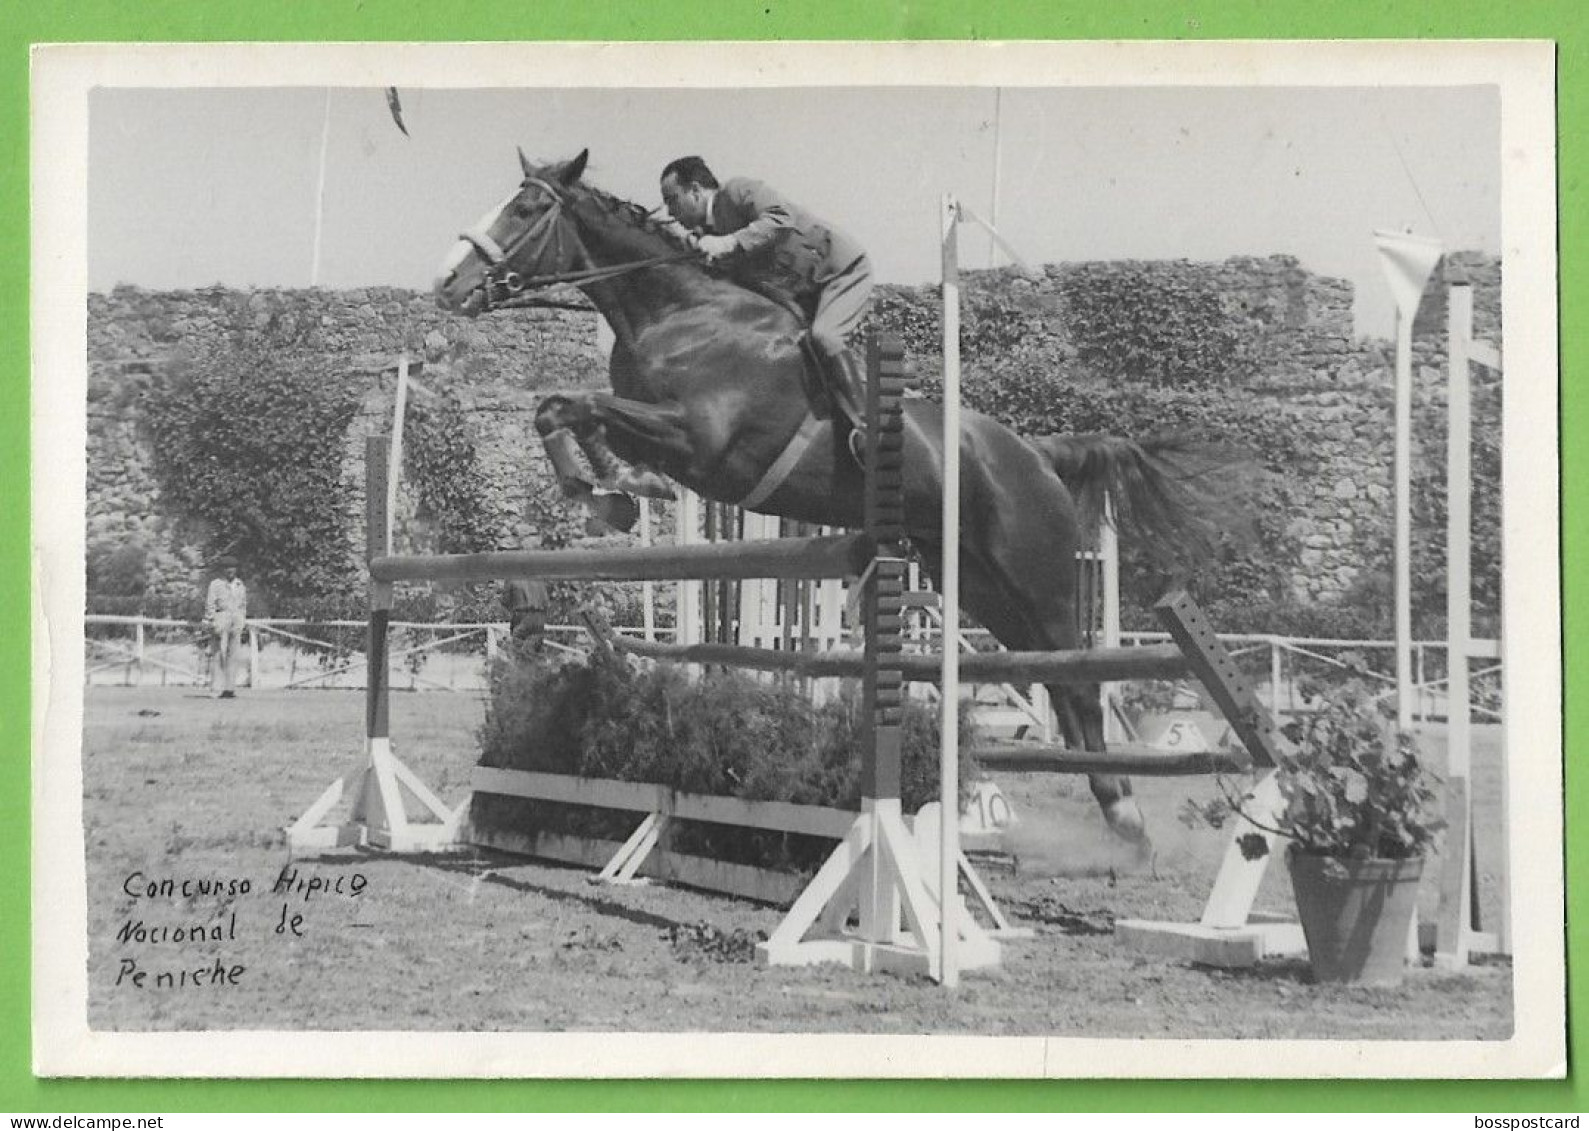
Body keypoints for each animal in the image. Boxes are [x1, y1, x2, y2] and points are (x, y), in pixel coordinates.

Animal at [435, 147, 1226, 838]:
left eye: (526, 207)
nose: (447, 285)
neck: (678, 311)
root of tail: (1036, 452)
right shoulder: (660, 435)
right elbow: (561, 409)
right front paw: (609, 493)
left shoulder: (699, 443)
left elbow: (578, 406)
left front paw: (613, 489)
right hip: (979, 584)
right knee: (1056, 680)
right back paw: (1113, 806)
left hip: (1037, 578)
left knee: (1078, 680)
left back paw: (1125, 813)